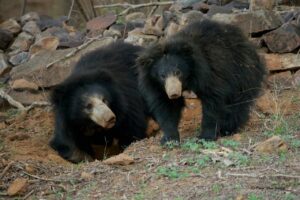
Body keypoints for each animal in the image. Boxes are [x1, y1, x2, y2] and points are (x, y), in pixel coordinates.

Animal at [137, 19, 266, 144]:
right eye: (162, 76)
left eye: (178, 72)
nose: (173, 93)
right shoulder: (156, 86)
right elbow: (167, 106)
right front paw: (170, 139)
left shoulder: (209, 73)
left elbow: (213, 101)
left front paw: (205, 137)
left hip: (242, 73)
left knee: (237, 102)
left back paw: (227, 128)